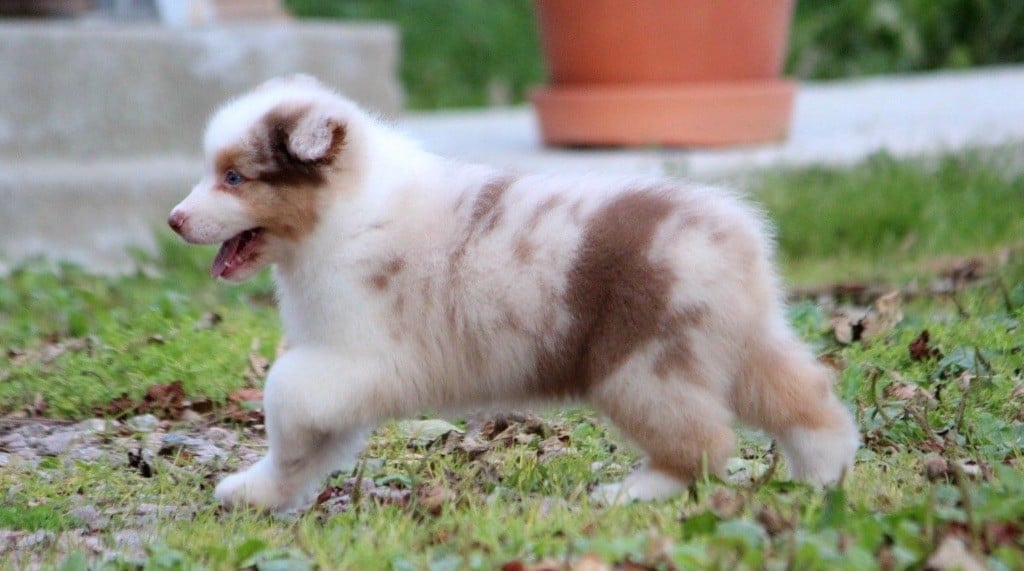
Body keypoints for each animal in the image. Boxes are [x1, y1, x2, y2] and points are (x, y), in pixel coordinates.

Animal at [168, 75, 860, 511]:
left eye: (234, 177)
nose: (174, 220)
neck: (341, 212)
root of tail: (735, 234)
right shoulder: (340, 371)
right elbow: (303, 450)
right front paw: (259, 493)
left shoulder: (353, 358)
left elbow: (283, 393)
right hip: (738, 343)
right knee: (805, 395)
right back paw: (824, 475)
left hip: (642, 369)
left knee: (706, 446)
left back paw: (631, 494)